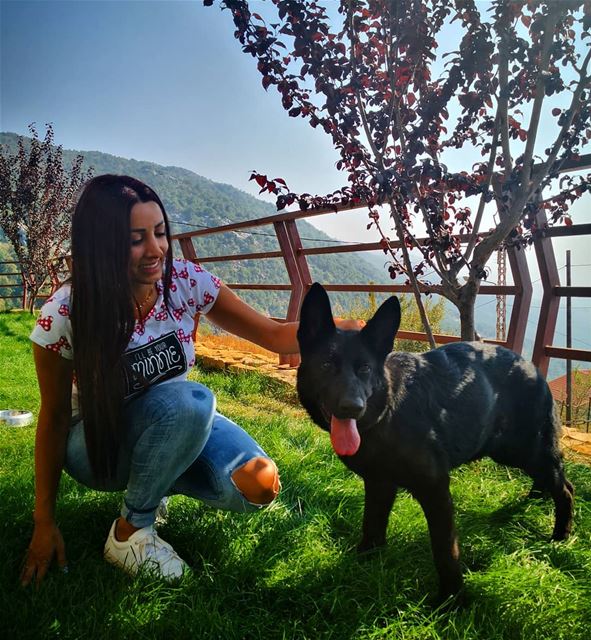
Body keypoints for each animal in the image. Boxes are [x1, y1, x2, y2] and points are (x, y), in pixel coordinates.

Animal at [298, 284, 576, 600]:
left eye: (365, 369)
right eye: (326, 364)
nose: (352, 408)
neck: (387, 414)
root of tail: (531, 366)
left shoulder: (436, 490)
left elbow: (445, 550)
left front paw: (452, 599)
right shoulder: (379, 484)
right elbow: (372, 527)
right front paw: (362, 563)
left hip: (528, 451)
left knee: (566, 488)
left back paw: (560, 535)